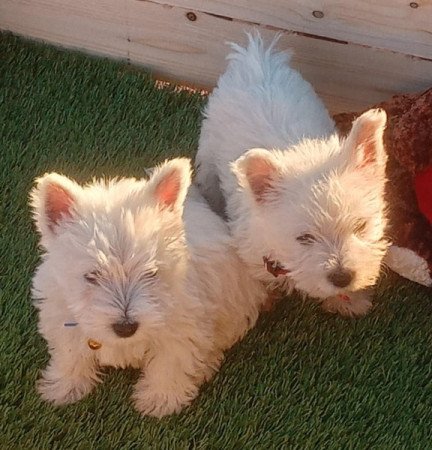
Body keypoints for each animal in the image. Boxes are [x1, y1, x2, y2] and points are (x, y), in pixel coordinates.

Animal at [31, 159, 266, 418]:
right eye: (92, 276)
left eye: (150, 273)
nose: (126, 327)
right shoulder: (61, 313)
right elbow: (70, 355)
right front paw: (65, 387)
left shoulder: (181, 327)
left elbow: (170, 363)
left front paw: (160, 400)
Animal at [196, 33, 388, 316]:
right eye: (304, 238)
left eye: (361, 226)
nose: (342, 277)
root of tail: (255, 58)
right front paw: (264, 299)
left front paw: (352, 300)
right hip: (208, 147)